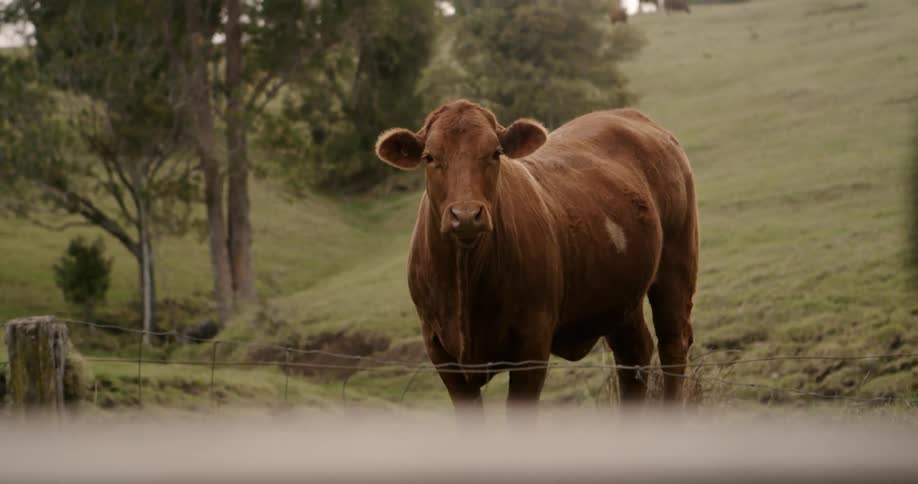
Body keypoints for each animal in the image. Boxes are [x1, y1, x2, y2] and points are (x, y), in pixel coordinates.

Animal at [375, 100, 698, 414]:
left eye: (495, 153)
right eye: (429, 157)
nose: (465, 215)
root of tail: (630, 115)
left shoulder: (532, 343)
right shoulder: (440, 350)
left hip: (677, 263)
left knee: (673, 343)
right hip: (620, 296)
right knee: (634, 354)